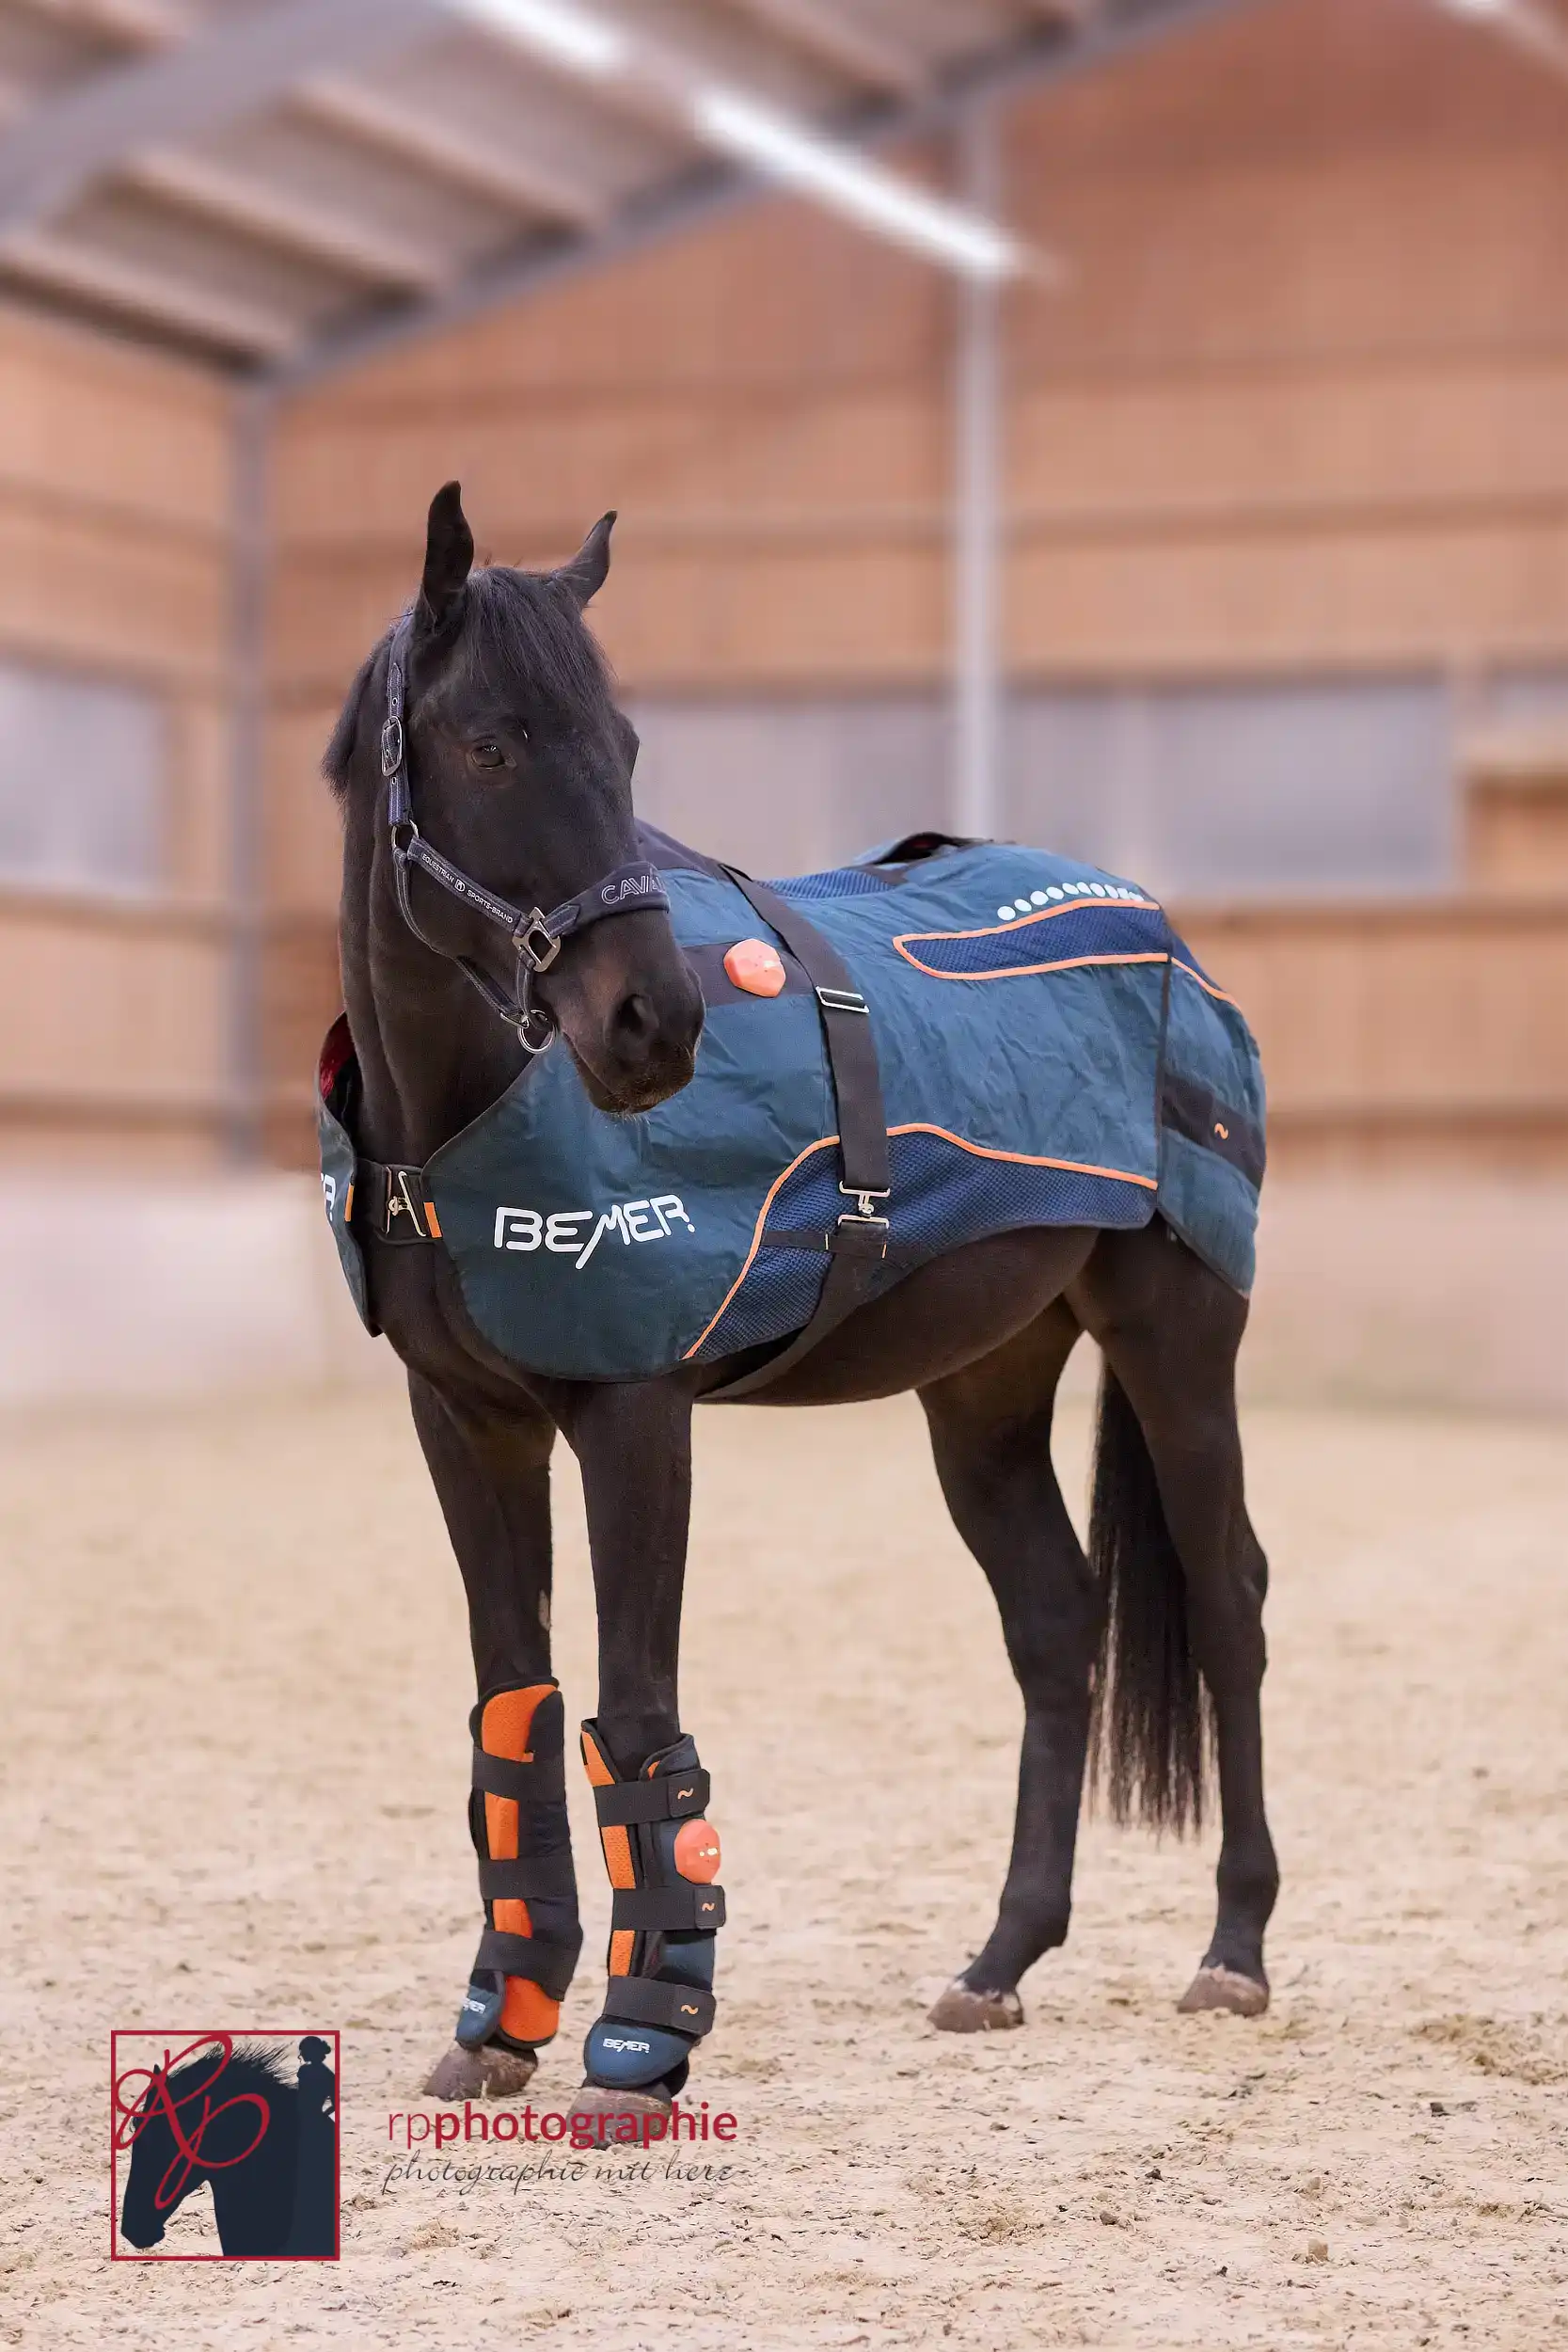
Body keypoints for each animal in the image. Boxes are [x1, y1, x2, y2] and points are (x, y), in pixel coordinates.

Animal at [318, 482, 1278, 2129]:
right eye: (492, 744)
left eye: (626, 745)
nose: (651, 1027)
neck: (462, 1123)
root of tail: (1160, 940)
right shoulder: (467, 1428)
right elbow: (514, 1708)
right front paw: (498, 2022)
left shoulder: (633, 1417)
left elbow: (636, 1715)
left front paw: (640, 2043)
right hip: (983, 1390)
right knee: (1053, 1623)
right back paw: (998, 1964)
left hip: (1173, 1339)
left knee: (1226, 1596)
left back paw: (1231, 1951)